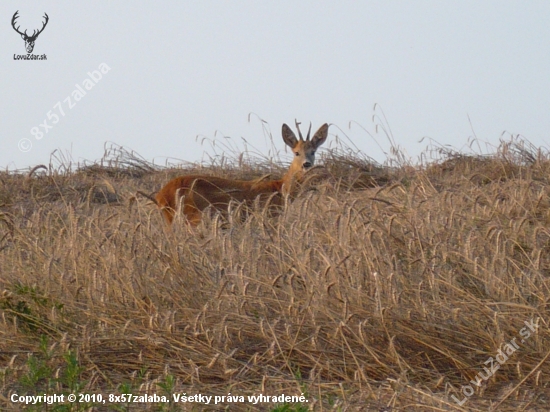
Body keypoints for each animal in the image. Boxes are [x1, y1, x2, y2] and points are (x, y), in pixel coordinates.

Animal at [153, 122, 330, 225]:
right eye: (296, 153)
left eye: (313, 152)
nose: (307, 164)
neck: (281, 189)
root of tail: (161, 195)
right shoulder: (269, 215)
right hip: (191, 216)